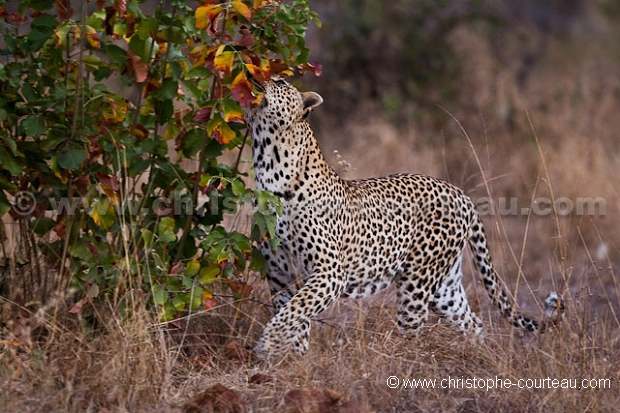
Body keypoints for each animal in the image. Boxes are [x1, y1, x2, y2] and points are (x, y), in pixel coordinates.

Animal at [243, 76, 560, 358]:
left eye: (280, 82)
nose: (257, 74)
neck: (269, 165)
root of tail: (461, 194)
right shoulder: (280, 275)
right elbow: (293, 317)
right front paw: (289, 360)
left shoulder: (329, 273)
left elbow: (293, 312)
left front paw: (268, 346)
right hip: (444, 289)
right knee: (473, 323)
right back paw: (478, 359)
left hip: (416, 283)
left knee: (414, 332)